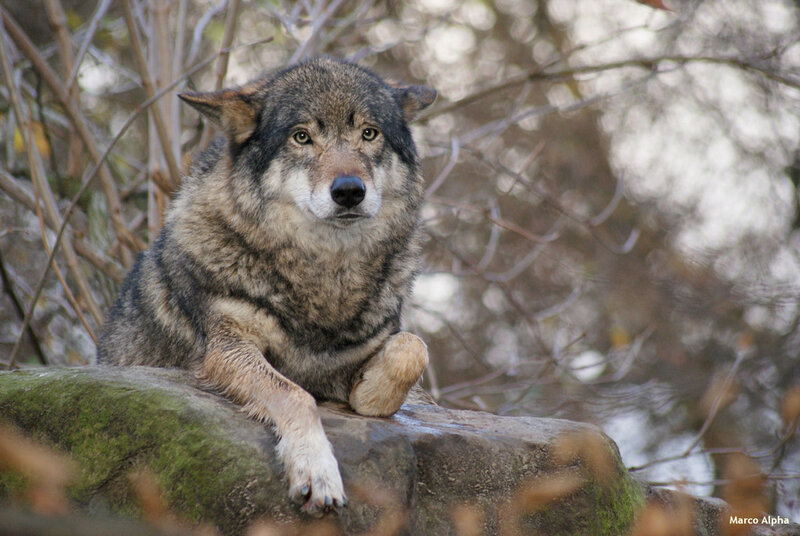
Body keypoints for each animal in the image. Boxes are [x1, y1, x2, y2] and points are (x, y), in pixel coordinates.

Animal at [96, 57, 435, 515]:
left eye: (369, 133)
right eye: (302, 137)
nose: (349, 191)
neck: (324, 272)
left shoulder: (375, 344)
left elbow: (412, 349)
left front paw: (370, 393)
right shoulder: (226, 349)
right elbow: (296, 394)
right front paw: (317, 471)